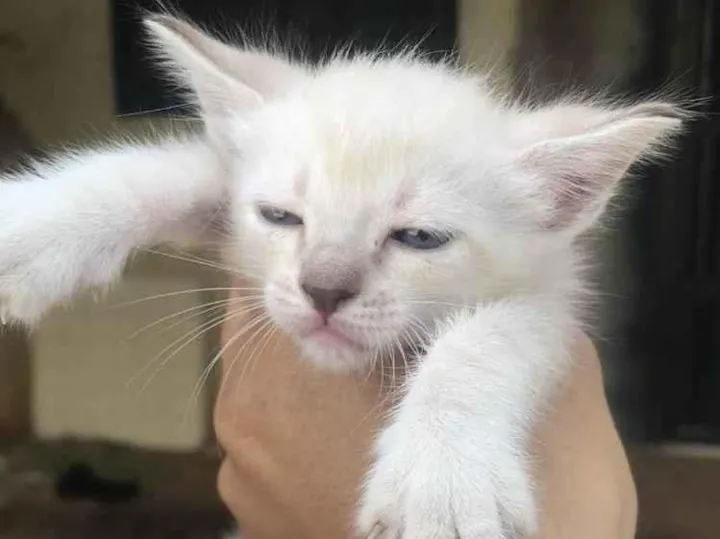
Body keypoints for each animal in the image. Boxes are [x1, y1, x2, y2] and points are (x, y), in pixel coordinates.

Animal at [0, 13, 685, 539]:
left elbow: (489, 337)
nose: (324, 289)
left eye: (418, 237)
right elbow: (181, 170)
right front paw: (31, 228)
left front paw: (442, 482)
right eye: (280, 216)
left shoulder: (555, 295)